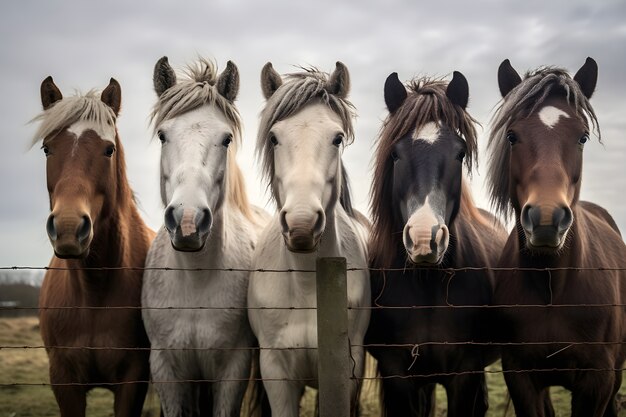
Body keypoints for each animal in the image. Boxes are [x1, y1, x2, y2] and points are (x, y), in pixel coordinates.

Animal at [33, 76, 155, 414]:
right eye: (47, 148)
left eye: (108, 149)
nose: (68, 227)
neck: (94, 294)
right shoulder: (64, 381)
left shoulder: (133, 380)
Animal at [140, 57, 266, 416]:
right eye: (163, 135)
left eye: (226, 139)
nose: (187, 221)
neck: (195, 281)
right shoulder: (166, 369)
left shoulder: (233, 370)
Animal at [245, 61, 370, 416]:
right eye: (274, 137)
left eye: (337, 138)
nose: (301, 225)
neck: (305, 288)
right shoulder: (275, 372)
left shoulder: (346, 370)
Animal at [366, 70, 508, 414]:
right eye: (395, 154)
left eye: (460, 153)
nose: (423, 238)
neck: (427, 284)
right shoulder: (397, 374)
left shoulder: (465, 374)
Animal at [488, 56, 624, 416]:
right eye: (512, 136)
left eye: (583, 137)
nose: (547, 219)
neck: (553, 287)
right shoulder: (520, 376)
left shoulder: (598, 380)